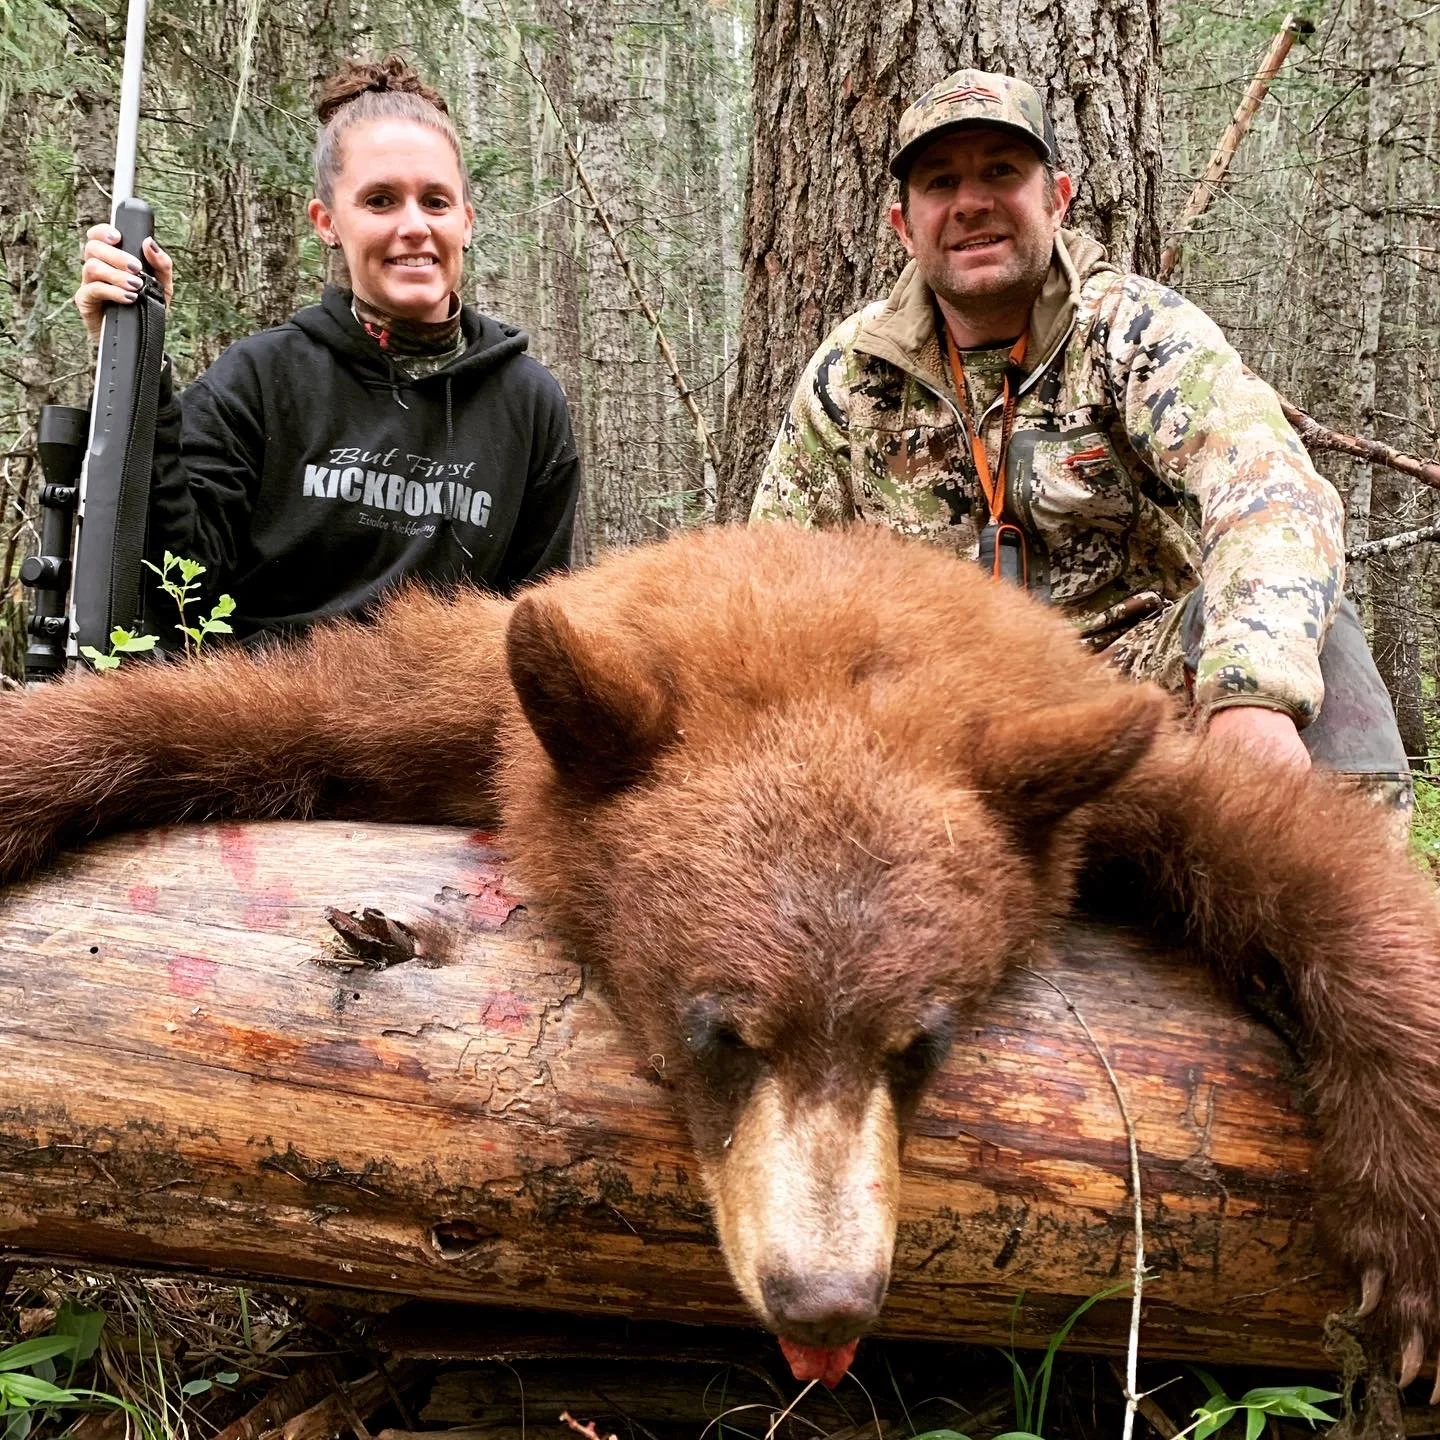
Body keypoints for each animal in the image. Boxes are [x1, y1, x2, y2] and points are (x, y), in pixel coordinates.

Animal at [0, 522, 1437, 1390]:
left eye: (920, 1043)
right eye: (721, 1029)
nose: (825, 1306)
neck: (813, 639)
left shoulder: (1074, 757)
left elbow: (1303, 853)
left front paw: (1406, 1245)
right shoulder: (492, 707)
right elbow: (253, 704)